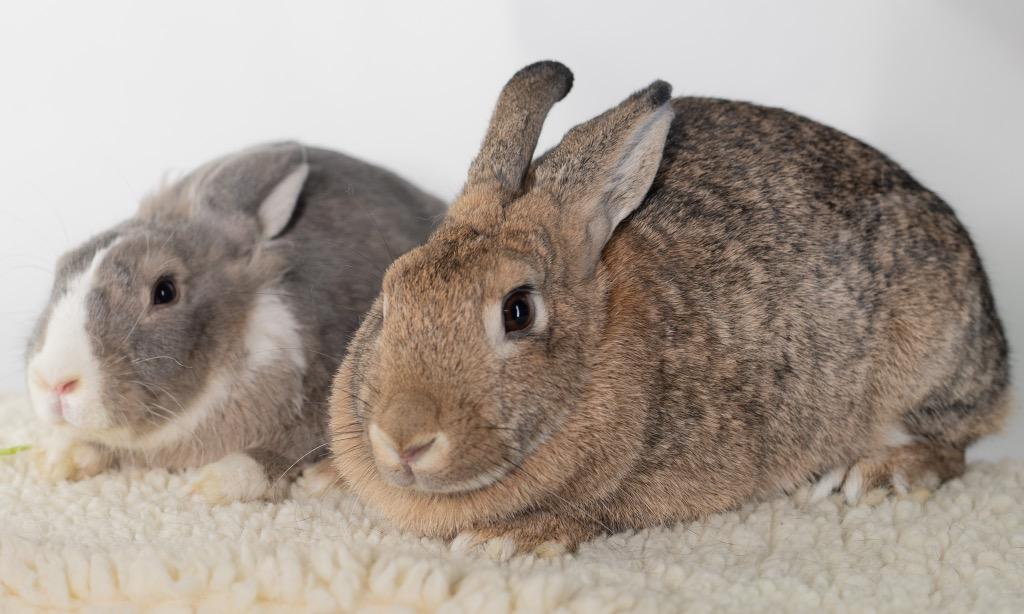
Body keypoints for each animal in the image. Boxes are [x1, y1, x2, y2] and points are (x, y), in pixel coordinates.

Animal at [26, 141, 444, 503]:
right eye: (64, 267)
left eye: (165, 291)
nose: (54, 382)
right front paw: (55, 460)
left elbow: (269, 457)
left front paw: (208, 484)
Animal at [327, 60, 1010, 557]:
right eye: (393, 290)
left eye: (518, 311)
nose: (403, 440)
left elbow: (597, 511)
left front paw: (508, 539)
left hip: (926, 366)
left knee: (954, 449)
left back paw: (874, 474)